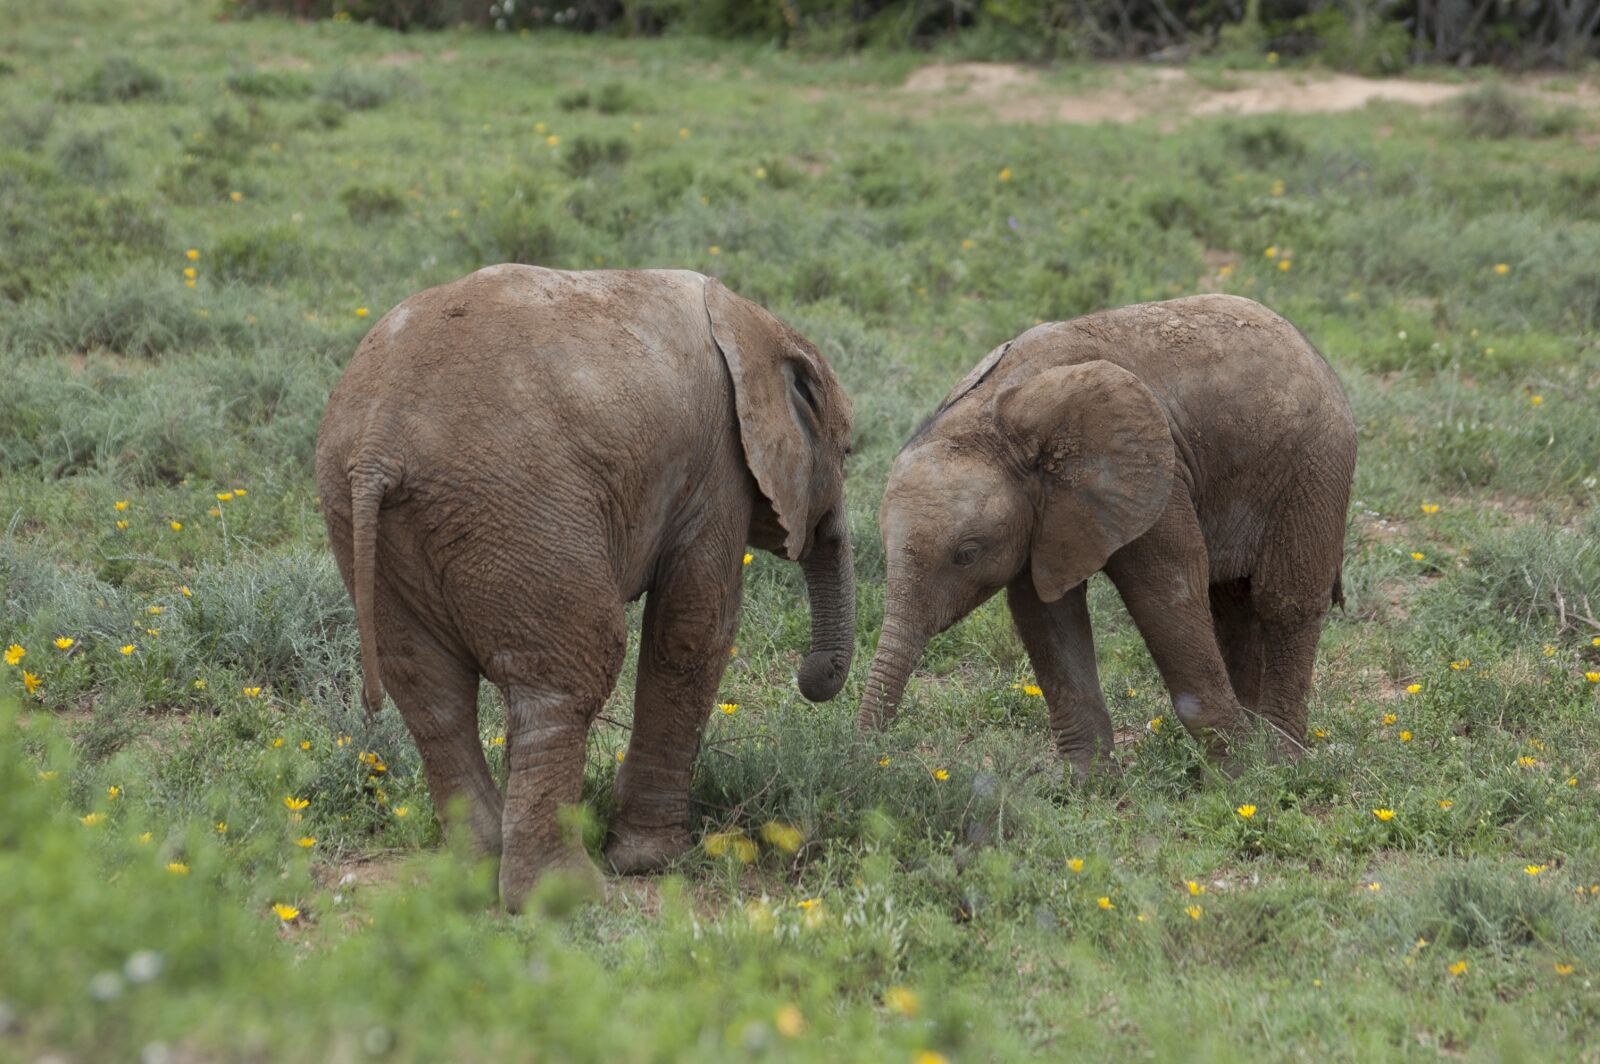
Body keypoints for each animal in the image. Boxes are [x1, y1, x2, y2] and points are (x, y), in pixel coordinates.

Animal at [316, 265, 857, 902]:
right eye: (848, 452)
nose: (814, 677)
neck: (754, 323)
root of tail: (377, 441)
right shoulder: (718, 466)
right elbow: (692, 631)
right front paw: (653, 862)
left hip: (370, 521)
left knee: (431, 693)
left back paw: (479, 872)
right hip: (519, 507)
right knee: (569, 677)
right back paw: (564, 895)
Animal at [857, 292, 1356, 771]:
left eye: (966, 553)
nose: (873, 756)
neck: (993, 414)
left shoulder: (1155, 474)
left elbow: (1166, 594)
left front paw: (1237, 776)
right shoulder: (1045, 510)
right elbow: (1046, 614)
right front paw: (1083, 783)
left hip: (1316, 464)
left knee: (1284, 602)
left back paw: (1279, 761)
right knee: (1233, 605)